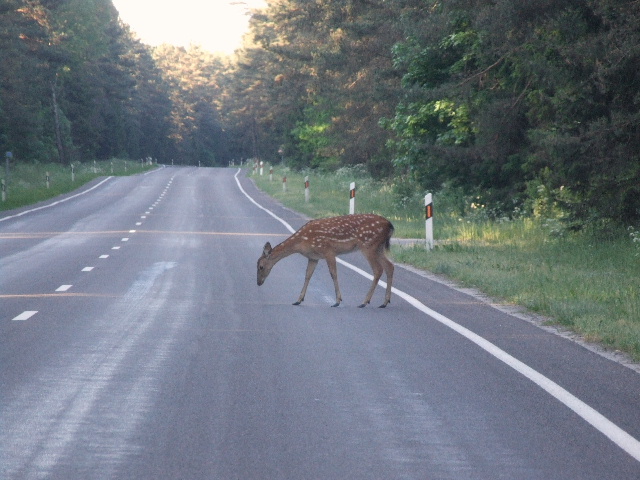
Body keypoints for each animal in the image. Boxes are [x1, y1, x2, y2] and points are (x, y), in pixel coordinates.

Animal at [258, 214, 392, 308]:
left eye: (260, 266)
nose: (258, 283)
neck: (301, 243)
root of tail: (390, 225)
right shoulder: (313, 257)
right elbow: (307, 275)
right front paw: (298, 300)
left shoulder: (328, 251)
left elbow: (333, 274)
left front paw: (337, 301)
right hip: (378, 248)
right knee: (390, 266)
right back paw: (384, 302)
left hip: (368, 245)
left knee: (378, 269)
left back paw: (364, 302)